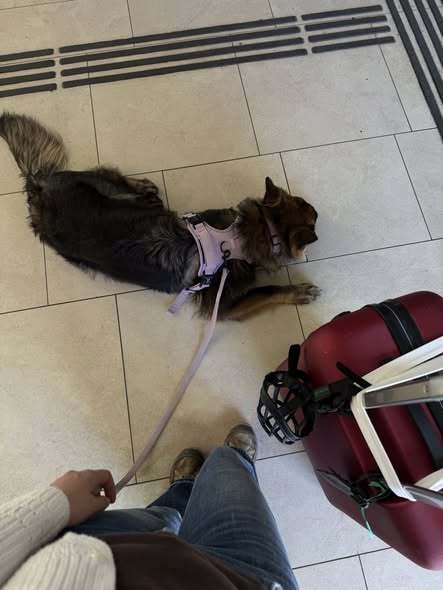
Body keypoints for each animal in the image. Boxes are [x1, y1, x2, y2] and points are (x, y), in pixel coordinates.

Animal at [0, 112, 320, 320]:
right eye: (308, 210)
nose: (317, 211)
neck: (236, 238)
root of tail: (39, 187)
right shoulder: (224, 307)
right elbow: (265, 292)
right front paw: (296, 291)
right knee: (111, 171)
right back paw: (145, 187)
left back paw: (147, 188)